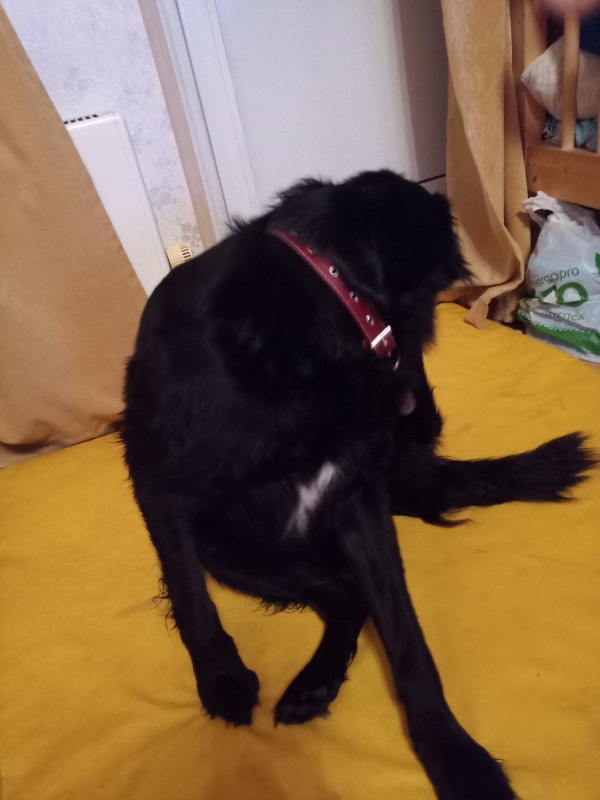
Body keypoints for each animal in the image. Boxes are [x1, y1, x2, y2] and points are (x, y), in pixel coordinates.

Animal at [122, 170, 595, 800]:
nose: (419, 415)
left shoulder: (357, 500)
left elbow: (406, 636)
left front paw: (453, 754)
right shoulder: (158, 480)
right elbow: (189, 596)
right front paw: (220, 676)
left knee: (349, 591)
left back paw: (315, 683)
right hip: (228, 548)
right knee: (340, 593)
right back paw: (312, 682)